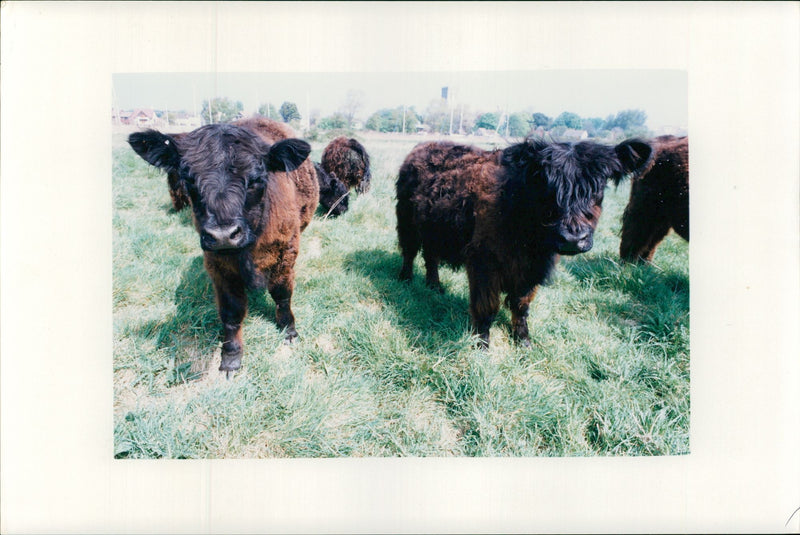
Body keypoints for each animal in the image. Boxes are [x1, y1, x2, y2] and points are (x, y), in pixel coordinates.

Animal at [128, 119, 318, 374]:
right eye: (188, 179)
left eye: (256, 178)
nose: (223, 235)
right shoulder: (219, 265)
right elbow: (232, 311)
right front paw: (231, 357)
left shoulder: (286, 254)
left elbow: (282, 294)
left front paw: (289, 330)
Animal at [396, 138, 652, 348]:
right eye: (546, 185)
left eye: (598, 187)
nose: (573, 239)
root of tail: (423, 146)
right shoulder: (483, 262)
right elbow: (486, 305)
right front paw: (482, 344)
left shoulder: (532, 271)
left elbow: (521, 306)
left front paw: (524, 341)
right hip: (406, 220)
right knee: (410, 251)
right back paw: (406, 280)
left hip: (431, 228)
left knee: (431, 257)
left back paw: (435, 287)